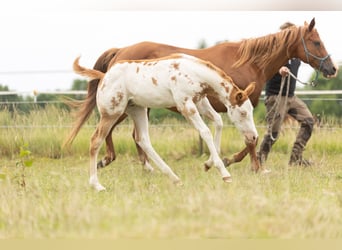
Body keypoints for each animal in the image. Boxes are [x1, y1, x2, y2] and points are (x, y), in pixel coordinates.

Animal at [65, 18, 336, 173]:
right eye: (316, 42)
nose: (332, 68)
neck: (247, 62)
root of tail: (121, 52)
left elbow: (254, 137)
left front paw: (225, 161)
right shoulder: (237, 106)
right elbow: (251, 140)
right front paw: (243, 164)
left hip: (140, 106)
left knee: (133, 135)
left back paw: (146, 166)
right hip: (123, 106)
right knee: (109, 130)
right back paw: (108, 160)